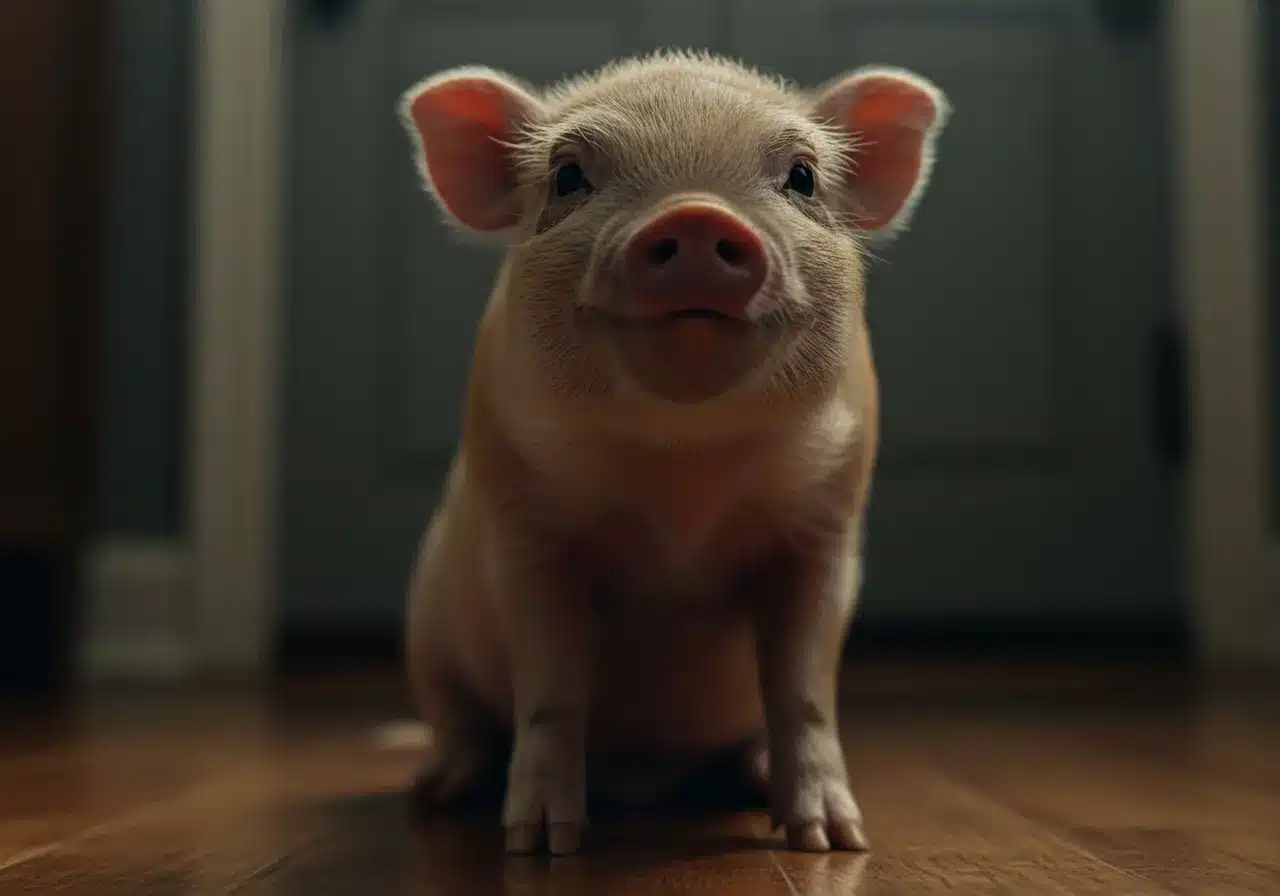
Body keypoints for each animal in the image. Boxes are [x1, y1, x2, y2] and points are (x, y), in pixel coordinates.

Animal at [397, 49, 949, 856]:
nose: (695, 214)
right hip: (429, 636)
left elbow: (804, 690)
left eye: (802, 177)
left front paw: (832, 842)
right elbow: (552, 689)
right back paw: (437, 790)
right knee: (461, 721)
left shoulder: (825, 530)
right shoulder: (525, 530)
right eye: (568, 175)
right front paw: (541, 845)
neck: (682, 479)